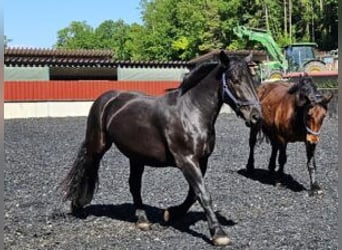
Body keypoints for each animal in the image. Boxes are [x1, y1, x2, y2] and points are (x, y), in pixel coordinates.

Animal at [61, 50, 260, 246]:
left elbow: (193, 194)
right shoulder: (187, 160)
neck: (191, 112)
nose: (256, 116)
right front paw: (219, 234)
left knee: (134, 185)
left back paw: (142, 220)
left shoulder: (202, 160)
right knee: (86, 170)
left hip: (136, 157)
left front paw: (171, 213)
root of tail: (107, 98)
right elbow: (203, 194)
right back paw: (77, 206)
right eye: (234, 80)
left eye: (254, 79)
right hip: (97, 147)